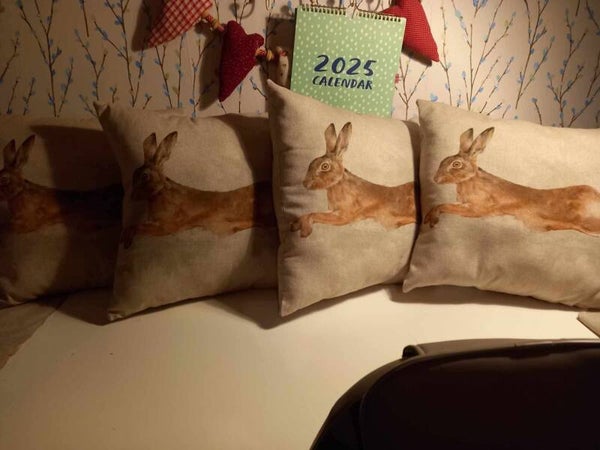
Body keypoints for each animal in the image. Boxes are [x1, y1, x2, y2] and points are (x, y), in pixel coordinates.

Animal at [121, 131, 276, 249]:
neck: (159, 192)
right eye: (134, 174)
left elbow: (138, 226)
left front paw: (126, 241)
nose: (132, 197)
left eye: (144, 176)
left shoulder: (167, 226)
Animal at [424, 127, 600, 236]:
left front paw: (431, 219)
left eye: (456, 164)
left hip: (584, 223)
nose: (435, 179)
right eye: (443, 160)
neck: (470, 179)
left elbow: (444, 205)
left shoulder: (478, 208)